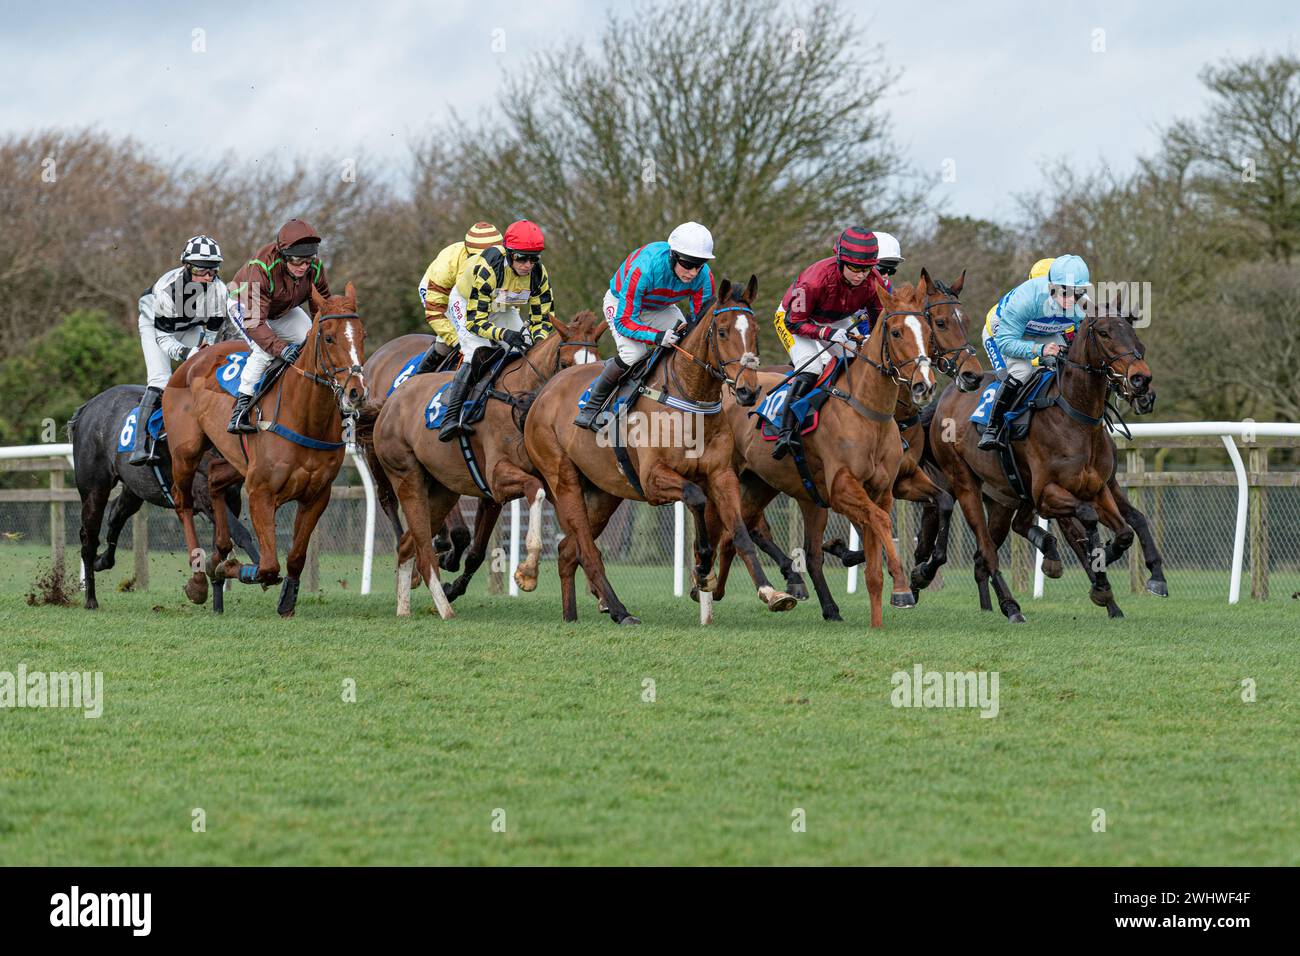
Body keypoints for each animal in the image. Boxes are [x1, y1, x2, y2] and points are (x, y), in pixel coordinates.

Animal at [67, 385, 258, 608]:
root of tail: (88, 406)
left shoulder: (232, 499)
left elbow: (222, 544)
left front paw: (216, 601)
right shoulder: (206, 497)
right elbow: (241, 534)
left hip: (135, 489)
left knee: (115, 516)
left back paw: (103, 561)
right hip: (94, 490)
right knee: (89, 539)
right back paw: (90, 599)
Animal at [162, 280, 369, 616]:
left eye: (362, 335)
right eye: (329, 337)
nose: (356, 392)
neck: (306, 417)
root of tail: (195, 358)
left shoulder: (317, 495)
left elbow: (296, 557)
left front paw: (287, 600)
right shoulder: (261, 492)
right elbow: (268, 566)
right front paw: (231, 569)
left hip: (234, 461)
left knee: (214, 480)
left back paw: (218, 552)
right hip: (186, 452)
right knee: (184, 502)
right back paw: (198, 577)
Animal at [361, 314, 595, 613]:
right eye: (565, 364)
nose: (575, 409)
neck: (515, 398)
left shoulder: (496, 492)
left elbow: (478, 551)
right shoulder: (494, 477)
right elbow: (531, 493)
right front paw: (527, 570)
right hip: (384, 461)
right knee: (387, 499)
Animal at [522, 274, 795, 629]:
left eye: (756, 331)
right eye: (722, 331)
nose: (749, 391)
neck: (690, 399)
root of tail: (544, 392)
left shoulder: (722, 476)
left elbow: (738, 532)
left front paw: (769, 591)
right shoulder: (653, 480)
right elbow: (695, 497)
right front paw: (702, 569)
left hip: (603, 492)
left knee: (568, 549)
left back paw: (573, 614)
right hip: (563, 479)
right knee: (586, 549)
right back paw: (619, 610)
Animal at [930, 303, 1154, 624]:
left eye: (1133, 334)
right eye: (1104, 333)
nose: (1141, 380)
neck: (1075, 416)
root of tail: (947, 396)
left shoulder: (1099, 489)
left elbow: (1124, 531)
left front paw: (1104, 580)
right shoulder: (1047, 494)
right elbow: (1086, 520)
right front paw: (1096, 571)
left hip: (1001, 498)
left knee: (985, 552)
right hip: (964, 483)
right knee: (985, 548)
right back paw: (1011, 607)